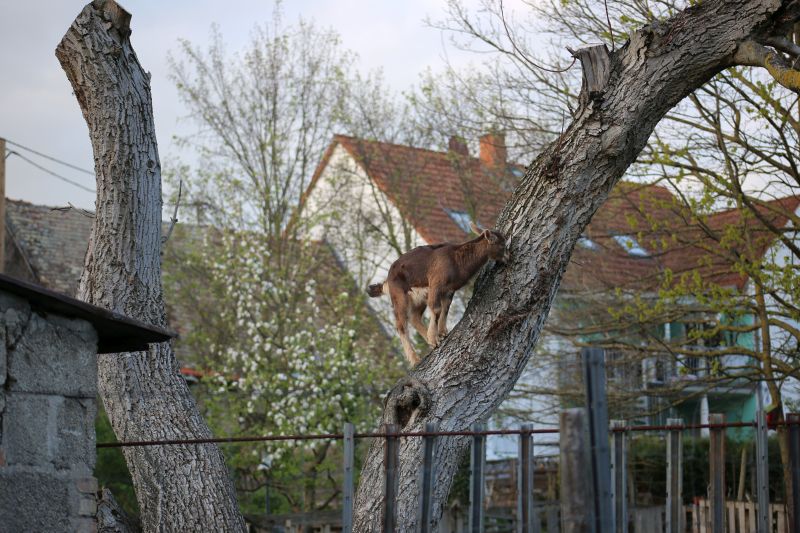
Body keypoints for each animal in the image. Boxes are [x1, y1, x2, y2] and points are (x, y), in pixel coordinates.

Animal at [368, 221, 510, 366]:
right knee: (401, 324)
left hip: (419, 297)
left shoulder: (448, 290)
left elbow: (445, 308)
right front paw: (434, 338)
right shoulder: (436, 284)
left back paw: (427, 340)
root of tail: (387, 281)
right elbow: (436, 309)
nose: (508, 258)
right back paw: (415, 359)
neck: (457, 260)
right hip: (399, 296)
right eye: (502, 244)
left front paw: (441, 334)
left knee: (414, 317)